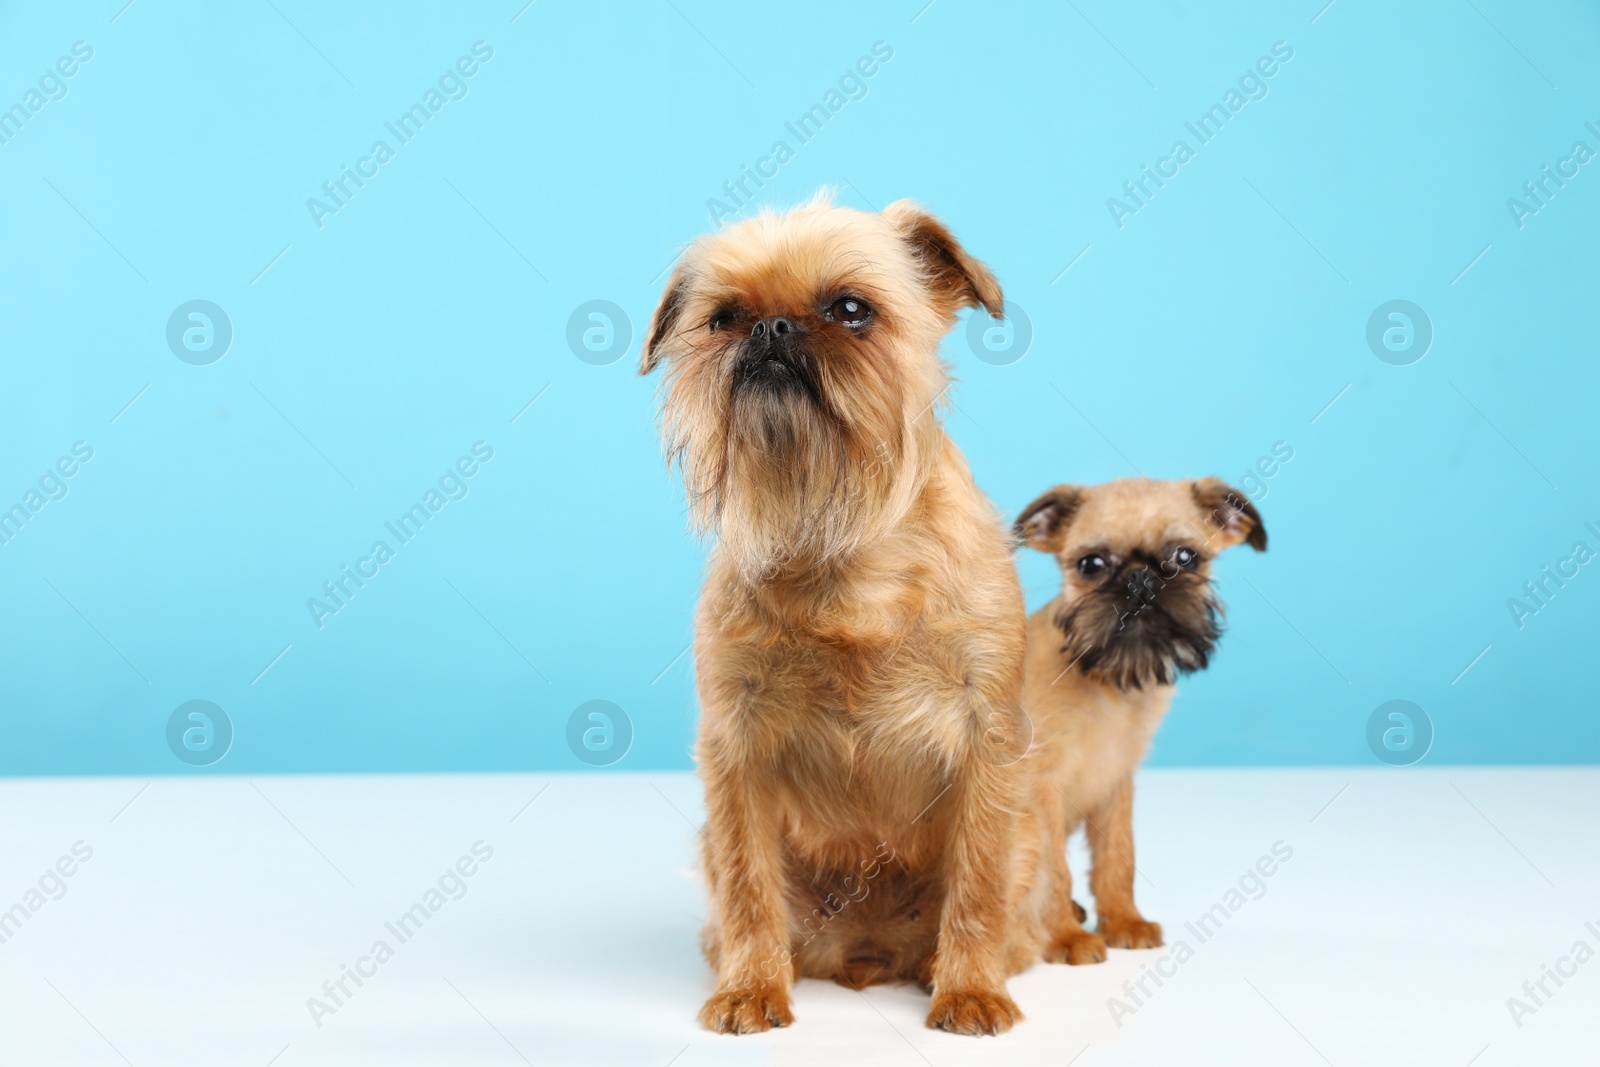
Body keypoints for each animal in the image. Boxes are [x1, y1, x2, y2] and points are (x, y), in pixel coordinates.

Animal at [640, 194, 1030, 1036]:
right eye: (723, 317)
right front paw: (753, 987)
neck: (843, 544)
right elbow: (749, 882)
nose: (771, 327)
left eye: (851, 310)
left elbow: (978, 877)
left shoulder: (989, 738)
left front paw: (970, 988)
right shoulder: (735, 748)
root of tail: (866, 955)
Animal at [1011, 479, 1260, 966]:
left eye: (1186, 556)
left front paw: (1124, 922)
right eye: (1091, 565)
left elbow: (1118, 856)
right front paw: (1064, 936)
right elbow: (1054, 869)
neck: (1107, 683)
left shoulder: (1116, 783)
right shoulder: (1040, 790)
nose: (1141, 577)